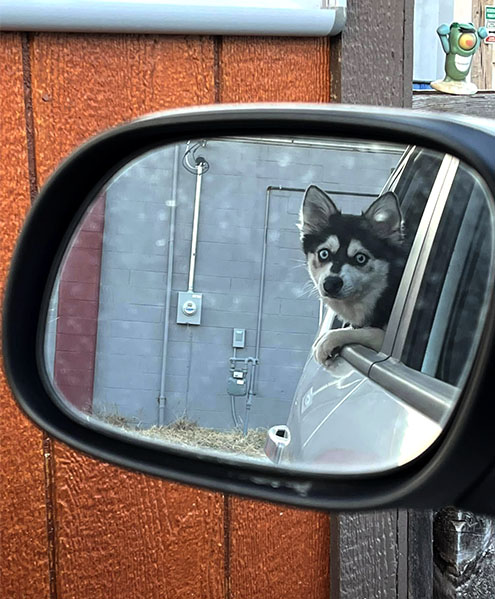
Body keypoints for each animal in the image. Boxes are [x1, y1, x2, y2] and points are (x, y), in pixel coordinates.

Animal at [299, 185, 407, 368]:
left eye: (360, 258)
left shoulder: (378, 335)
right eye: (324, 253)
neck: (383, 294)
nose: (331, 284)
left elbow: (371, 333)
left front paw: (328, 339)